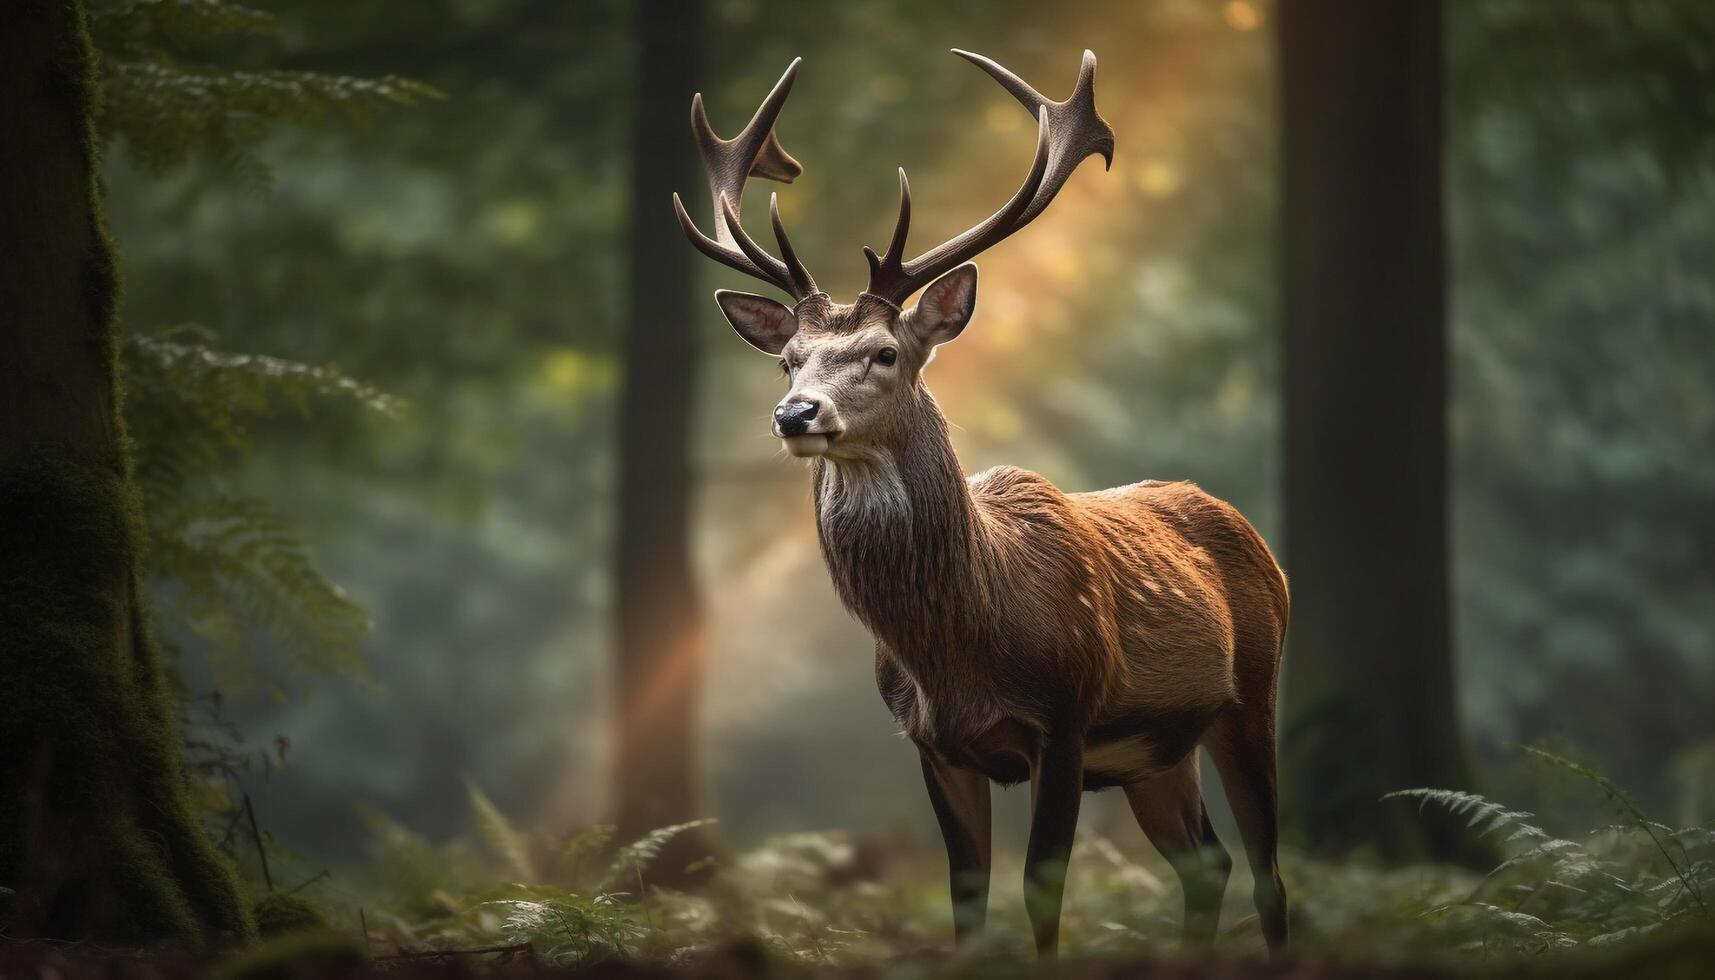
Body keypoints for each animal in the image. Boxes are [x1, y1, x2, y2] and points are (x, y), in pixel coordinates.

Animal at [668, 49, 1289, 961]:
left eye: (884, 352)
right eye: (787, 359)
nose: (795, 415)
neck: (959, 647)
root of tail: (1257, 540)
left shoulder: (1065, 718)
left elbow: (1042, 895)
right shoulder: (932, 743)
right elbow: (966, 904)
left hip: (1251, 695)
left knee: (1271, 876)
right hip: (1156, 753)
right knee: (1208, 862)